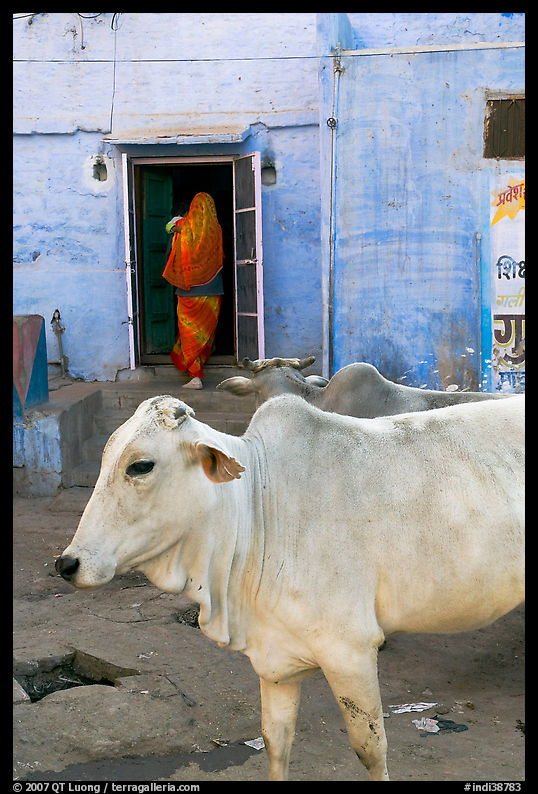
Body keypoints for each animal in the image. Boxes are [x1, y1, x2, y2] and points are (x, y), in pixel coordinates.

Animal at [56, 393, 524, 781]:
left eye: (140, 465)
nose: (67, 564)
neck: (256, 507)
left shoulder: (350, 651)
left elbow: (370, 749)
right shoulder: (275, 660)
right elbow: (275, 743)